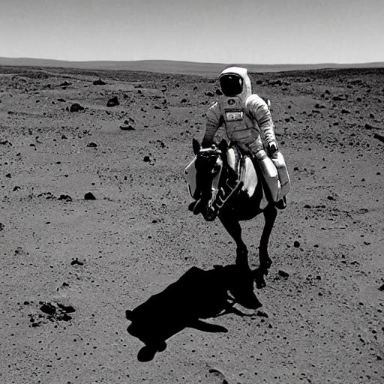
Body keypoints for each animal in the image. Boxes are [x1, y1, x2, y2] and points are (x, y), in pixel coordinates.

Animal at [188, 139, 278, 288]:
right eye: (196, 165)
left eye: (217, 168)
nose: (204, 206)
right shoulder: (225, 216)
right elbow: (237, 234)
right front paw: (241, 262)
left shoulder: (270, 210)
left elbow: (265, 234)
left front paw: (264, 261)